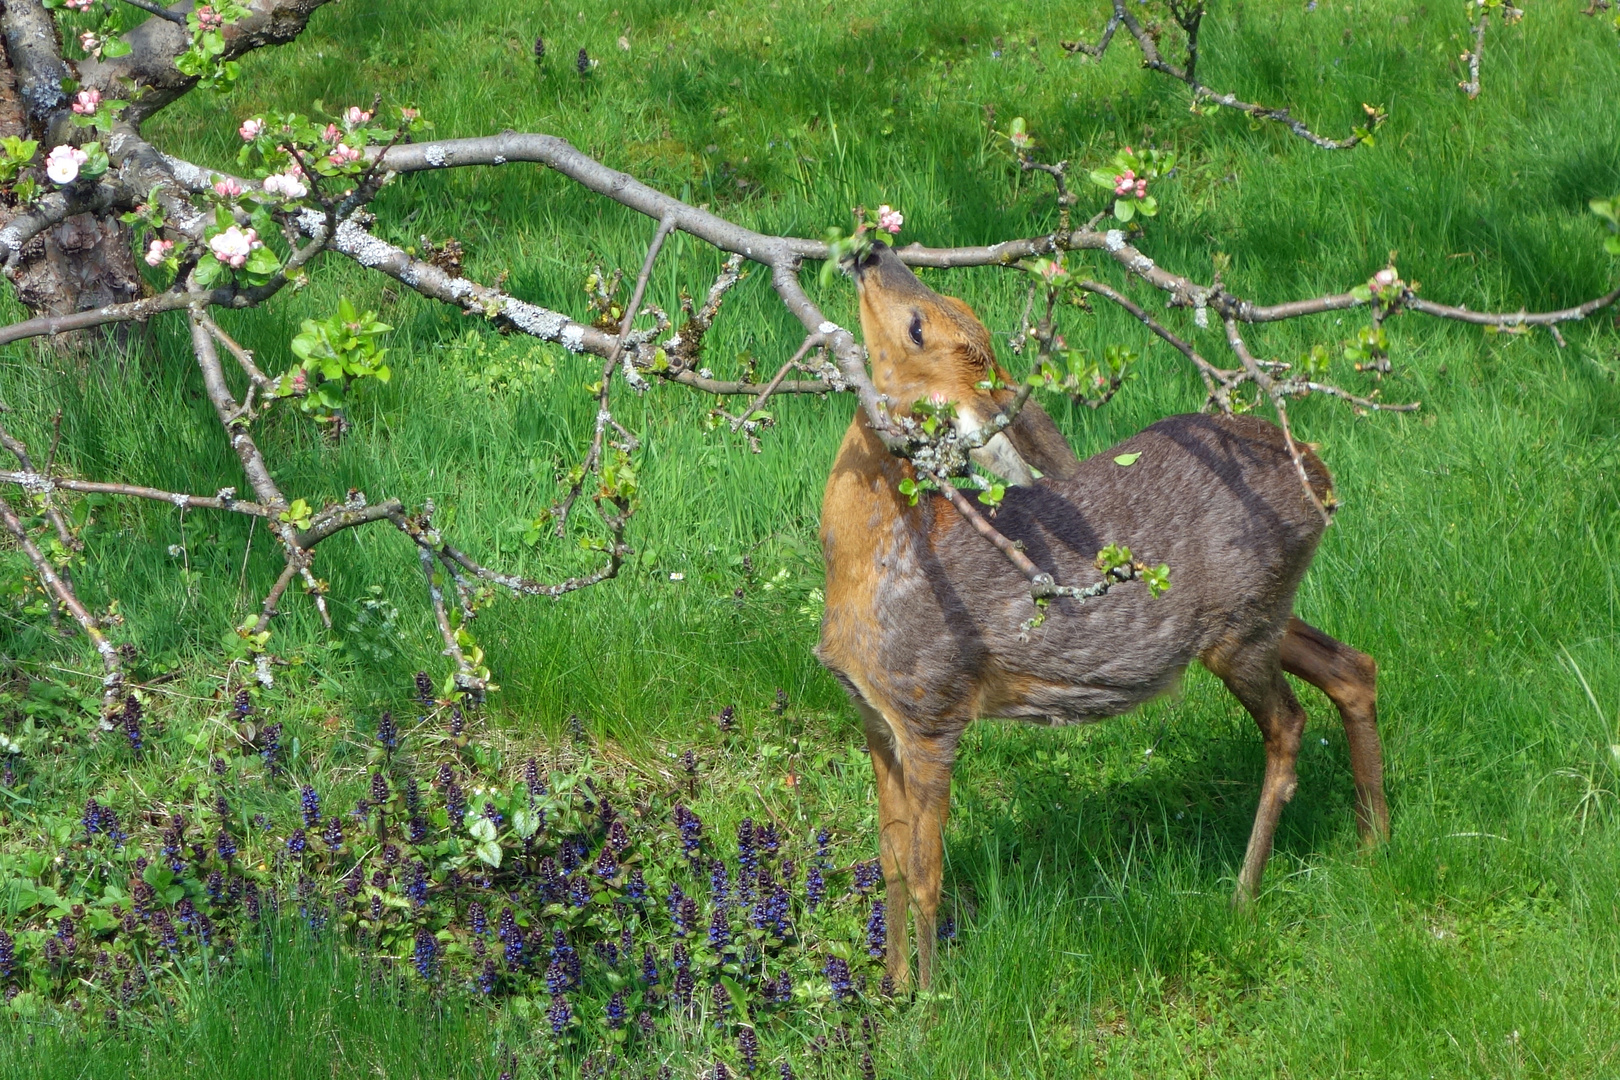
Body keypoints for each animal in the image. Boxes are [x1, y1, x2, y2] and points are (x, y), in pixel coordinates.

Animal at [816, 244, 1386, 997]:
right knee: (1354, 666)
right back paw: (1376, 840)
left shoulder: (933, 707)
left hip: (1242, 626)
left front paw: (932, 1001)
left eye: (917, 326)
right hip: (1261, 612)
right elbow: (889, 862)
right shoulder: (874, 716)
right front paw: (890, 987)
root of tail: (1320, 476)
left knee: (1290, 723)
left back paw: (1244, 892)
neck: (875, 565)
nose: (871, 250)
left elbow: (927, 874)